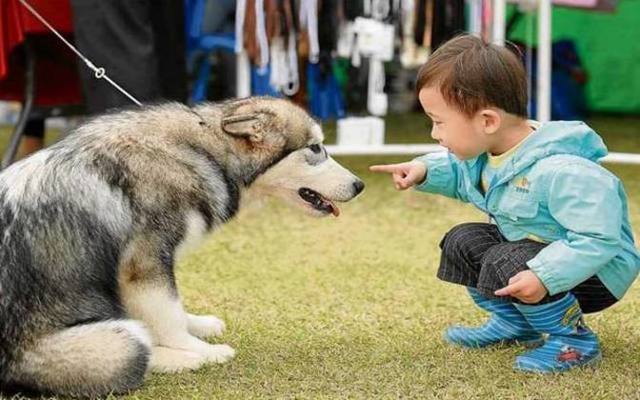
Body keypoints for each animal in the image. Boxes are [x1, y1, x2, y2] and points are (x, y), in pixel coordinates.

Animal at [0, 97, 362, 396]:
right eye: (315, 148)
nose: (360, 185)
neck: (205, 152)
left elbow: (174, 309)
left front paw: (198, 325)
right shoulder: (144, 263)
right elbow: (169, 315)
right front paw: (199, 349)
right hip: (116, 342)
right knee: (138, 351)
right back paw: (184, 359)